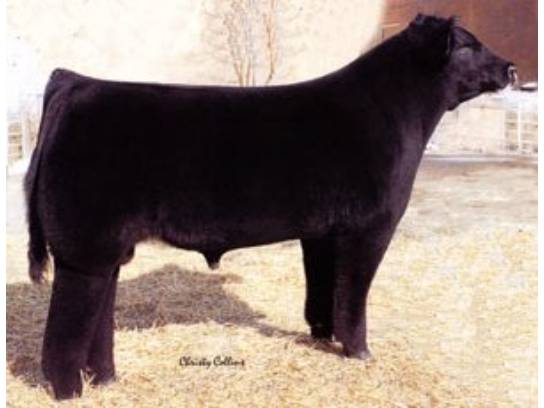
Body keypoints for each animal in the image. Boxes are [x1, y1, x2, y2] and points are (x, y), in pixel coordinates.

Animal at [24, 14, 516, 399]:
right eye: (467, 45)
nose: (511, 67)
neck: (396, 111)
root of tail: (78, 82)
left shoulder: (322, 231)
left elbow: (324, 289)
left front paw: (323, 337)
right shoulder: (372, 225)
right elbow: (354, 293)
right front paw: (359, 352)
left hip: (106, 250)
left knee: (97, 317)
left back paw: (106, 380)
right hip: (84, 249)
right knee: (64, 332)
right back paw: (70, 392)